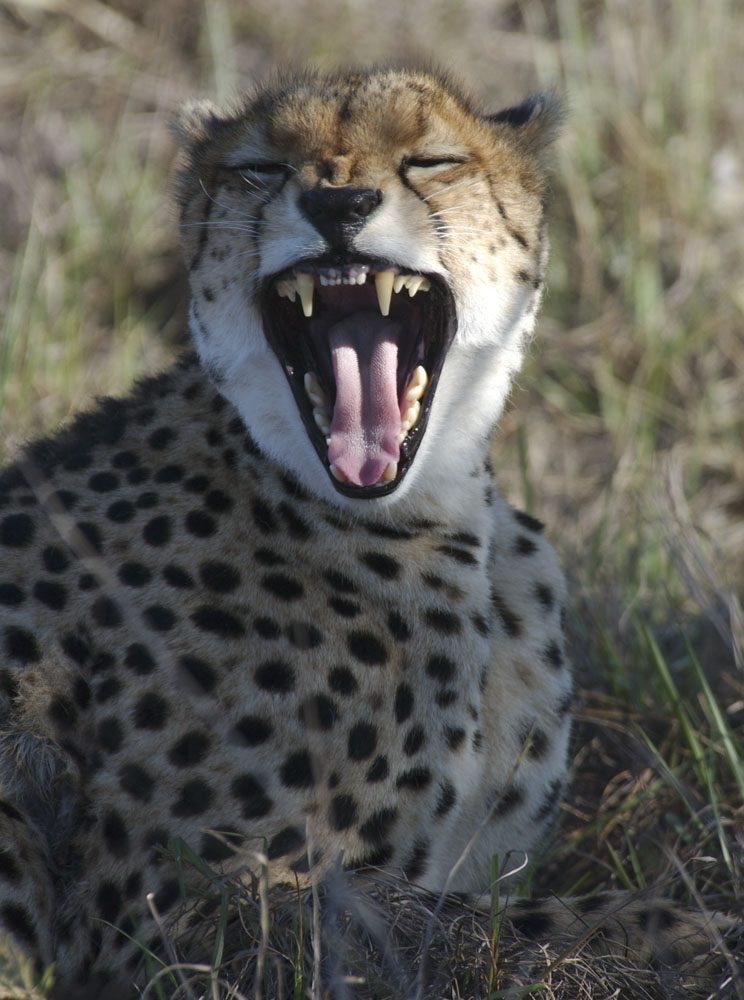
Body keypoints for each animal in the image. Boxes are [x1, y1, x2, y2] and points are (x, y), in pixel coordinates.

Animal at [0, 67, 728, 997]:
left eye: (432, 159)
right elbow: (455, 923)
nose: (339, 202)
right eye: (263, 167)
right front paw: (675, 929)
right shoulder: (172, 920)